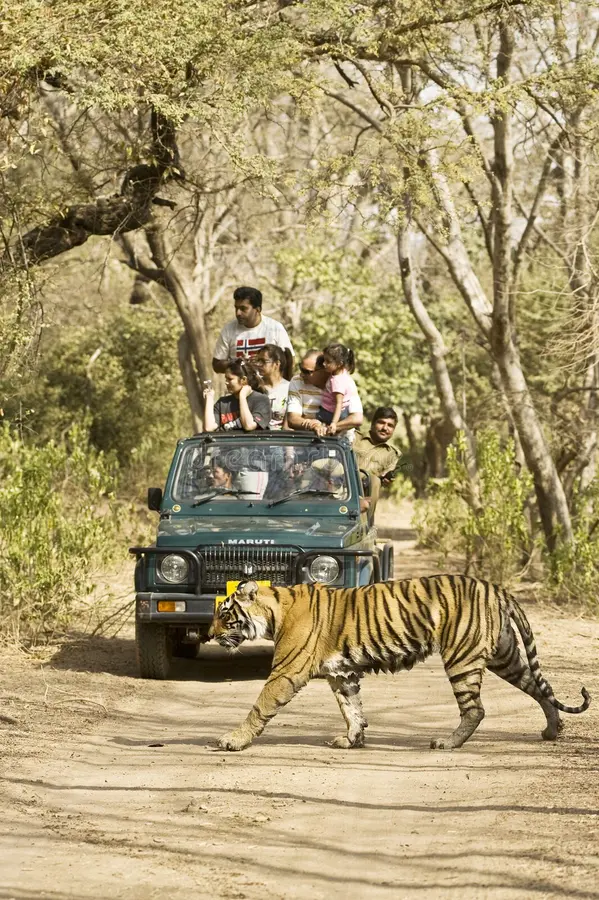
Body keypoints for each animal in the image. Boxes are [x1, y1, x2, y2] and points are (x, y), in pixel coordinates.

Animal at [208, 576, 590, 752]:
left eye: (225, 615)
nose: (210, 634)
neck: (276, 611)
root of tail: (496, 587)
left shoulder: (286, 672)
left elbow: (260, 706)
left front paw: (233, 740)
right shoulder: (342, 673)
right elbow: (352, 708)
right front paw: (352, 739)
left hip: (461, 658)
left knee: (476, 709)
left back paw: (447, 743)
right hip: (505, 656)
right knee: (541, 688)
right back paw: (552, 730)